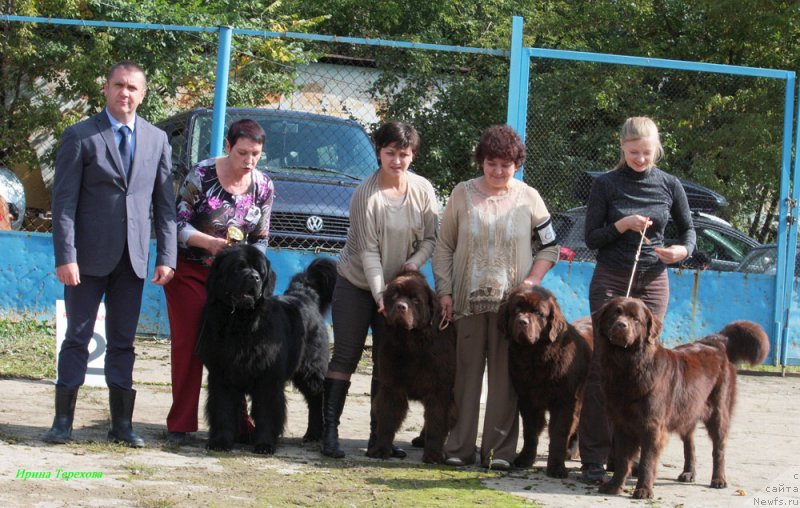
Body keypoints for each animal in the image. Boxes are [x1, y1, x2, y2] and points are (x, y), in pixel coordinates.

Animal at [197, 244, 334, 454]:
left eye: (260, 271)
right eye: (239, 267)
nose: (254, 277)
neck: (240, 321)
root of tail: (304, 295)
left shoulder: (267, 378)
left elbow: (267, 412)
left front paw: (264, 444)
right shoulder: (221, 375)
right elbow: (223, 409)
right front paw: (220, 441)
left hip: (310, 369)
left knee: (316, 398)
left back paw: (313, 433)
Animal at [364, 272, 454, 462]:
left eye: (415, 300)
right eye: (394, 295)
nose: (401, 307)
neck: (411, 342)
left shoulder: (440, 389)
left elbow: (437, 421)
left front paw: (433, 455)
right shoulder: (392, 384)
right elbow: (387, 418)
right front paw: (381, 449)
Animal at [500, 288, 592, 478]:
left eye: (538, 313)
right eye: (516, 309)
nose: (522, 322)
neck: (535, 356)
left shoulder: (565, 400)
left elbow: (558, 433)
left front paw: (556, 468)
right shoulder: (527, 399)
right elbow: (530, 432)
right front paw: (525, 459)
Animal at [596, 296, 764, 498]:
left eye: (636, 319)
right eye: (616, 313)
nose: (621, 325)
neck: (626, 365)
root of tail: (715, 342)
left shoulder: (652, 425)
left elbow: (647, 461)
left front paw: (644, 490)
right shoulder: (621, 423)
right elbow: (622, 459)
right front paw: (614, 486)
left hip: (718, 412)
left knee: (719, 448)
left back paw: (718, 479)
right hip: (687, 409)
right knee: (690, 443)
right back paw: (689, 473)